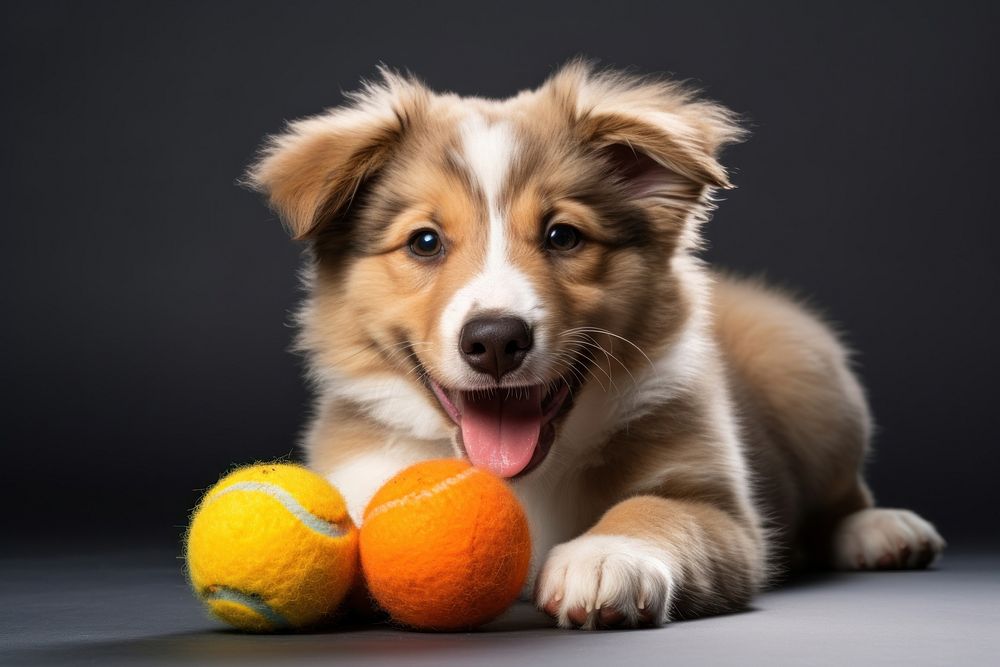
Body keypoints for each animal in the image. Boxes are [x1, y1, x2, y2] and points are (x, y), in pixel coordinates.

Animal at [246, 62, 940, 632]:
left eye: (563, 236)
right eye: (424, 242)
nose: (495, 341)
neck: (525, 479)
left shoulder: (720, 509)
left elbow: (656, 511)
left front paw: (605, 558)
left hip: (818, 386)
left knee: (844, 494)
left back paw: (883, 531)